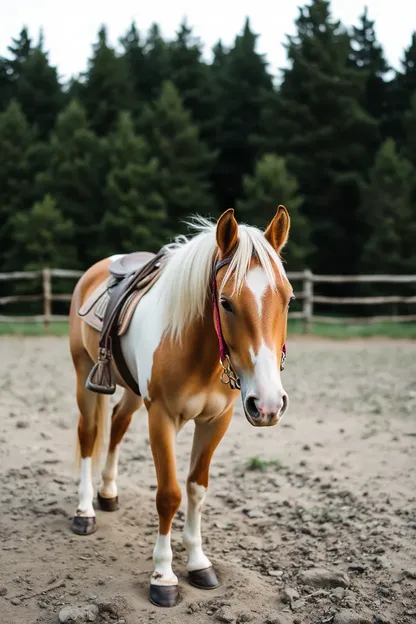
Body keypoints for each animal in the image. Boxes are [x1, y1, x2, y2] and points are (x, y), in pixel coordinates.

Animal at [68, 207, 294, 608]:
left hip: (131, 390)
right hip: (84, 376)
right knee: (89, 434)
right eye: (226, 302)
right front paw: (163, 576)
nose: (268, 404)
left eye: (288, 299)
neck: (195, 348)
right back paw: (84, 511)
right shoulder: (161, 418)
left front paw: (199, 563)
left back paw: (107, 493)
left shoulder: (216, 422)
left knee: (118, 425)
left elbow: (196, 488)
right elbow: (169, 495)